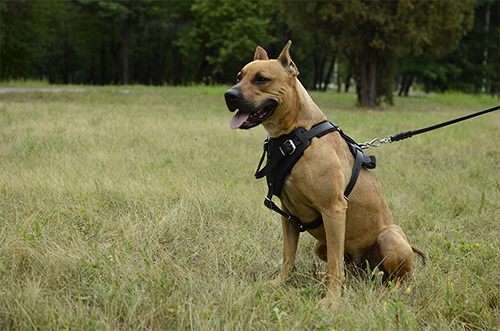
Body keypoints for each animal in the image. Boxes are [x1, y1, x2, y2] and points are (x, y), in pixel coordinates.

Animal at [225, 40, 428, 308]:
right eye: (239, 77)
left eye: (261, 79)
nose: (229, 95)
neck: (296, 135)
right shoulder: (288, 215)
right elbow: (288, 257)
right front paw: (278, 284)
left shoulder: (333, 210)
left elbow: (334, 265)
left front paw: (331, 300)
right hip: (321, 246)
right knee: (350, 269)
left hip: (390, 238)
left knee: (396, 280)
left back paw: (386, 292)